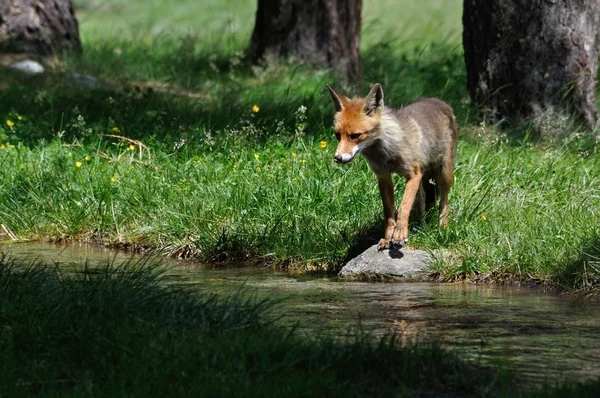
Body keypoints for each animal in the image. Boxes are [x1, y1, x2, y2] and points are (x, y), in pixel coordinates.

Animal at [326, 83, 458, 250]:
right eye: (337, 135)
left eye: (355, 135)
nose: (337, 158)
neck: (387, 152)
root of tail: (439, 101)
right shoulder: (383, 177)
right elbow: (389, 214)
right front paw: (388, 238)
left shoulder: (413, 174)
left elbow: (403, 208)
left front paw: (400, 234)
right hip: (422, 178)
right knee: (422, 199)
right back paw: (419, 226)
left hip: (444, 173)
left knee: (444, 202)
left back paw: (443, 229)